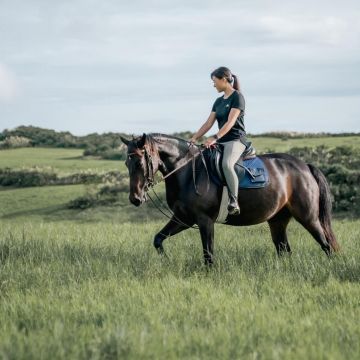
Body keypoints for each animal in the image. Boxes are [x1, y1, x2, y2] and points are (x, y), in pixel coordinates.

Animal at [119, 132, 338, 264]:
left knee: (326, 245)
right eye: (127, 163)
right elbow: (158, 239)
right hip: (277, 220)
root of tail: (304, 166)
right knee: (284, 250)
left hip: (308, 218)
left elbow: (208, 254)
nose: (135, 198)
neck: (188, 171)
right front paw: (166, 260)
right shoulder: (183, 219)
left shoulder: (204, 221)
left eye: (139, 162)